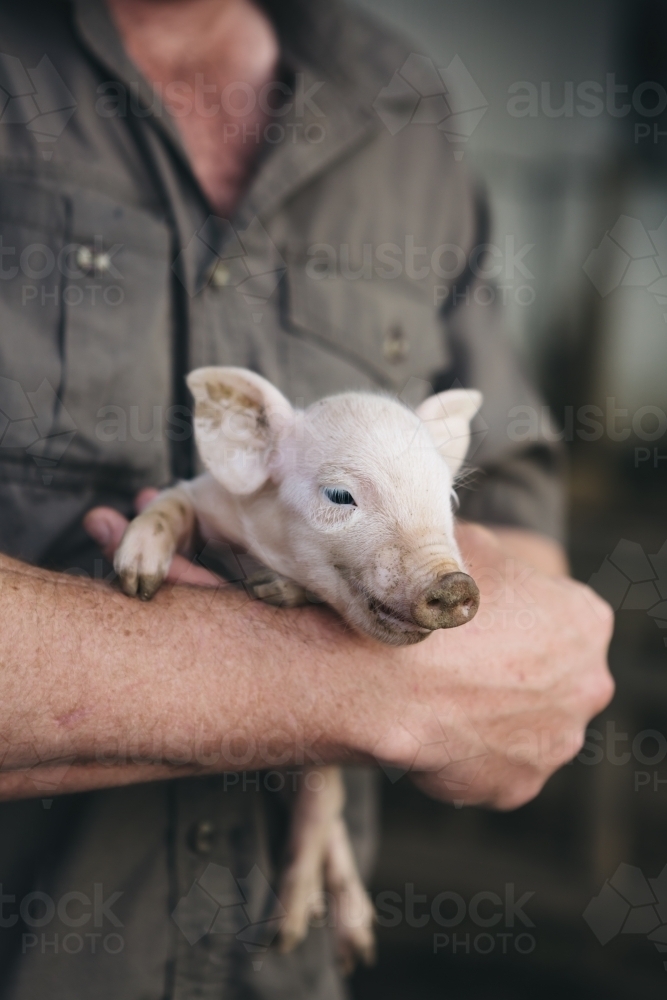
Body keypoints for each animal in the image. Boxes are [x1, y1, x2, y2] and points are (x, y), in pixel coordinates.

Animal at [114, 366, 482, 969]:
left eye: (449, 498)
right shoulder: (205, 496)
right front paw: (136, 582)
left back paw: (305, 940)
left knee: (322, 809)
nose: (454, 584)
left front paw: (273, 590)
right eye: (339, 495)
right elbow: (169, 505)